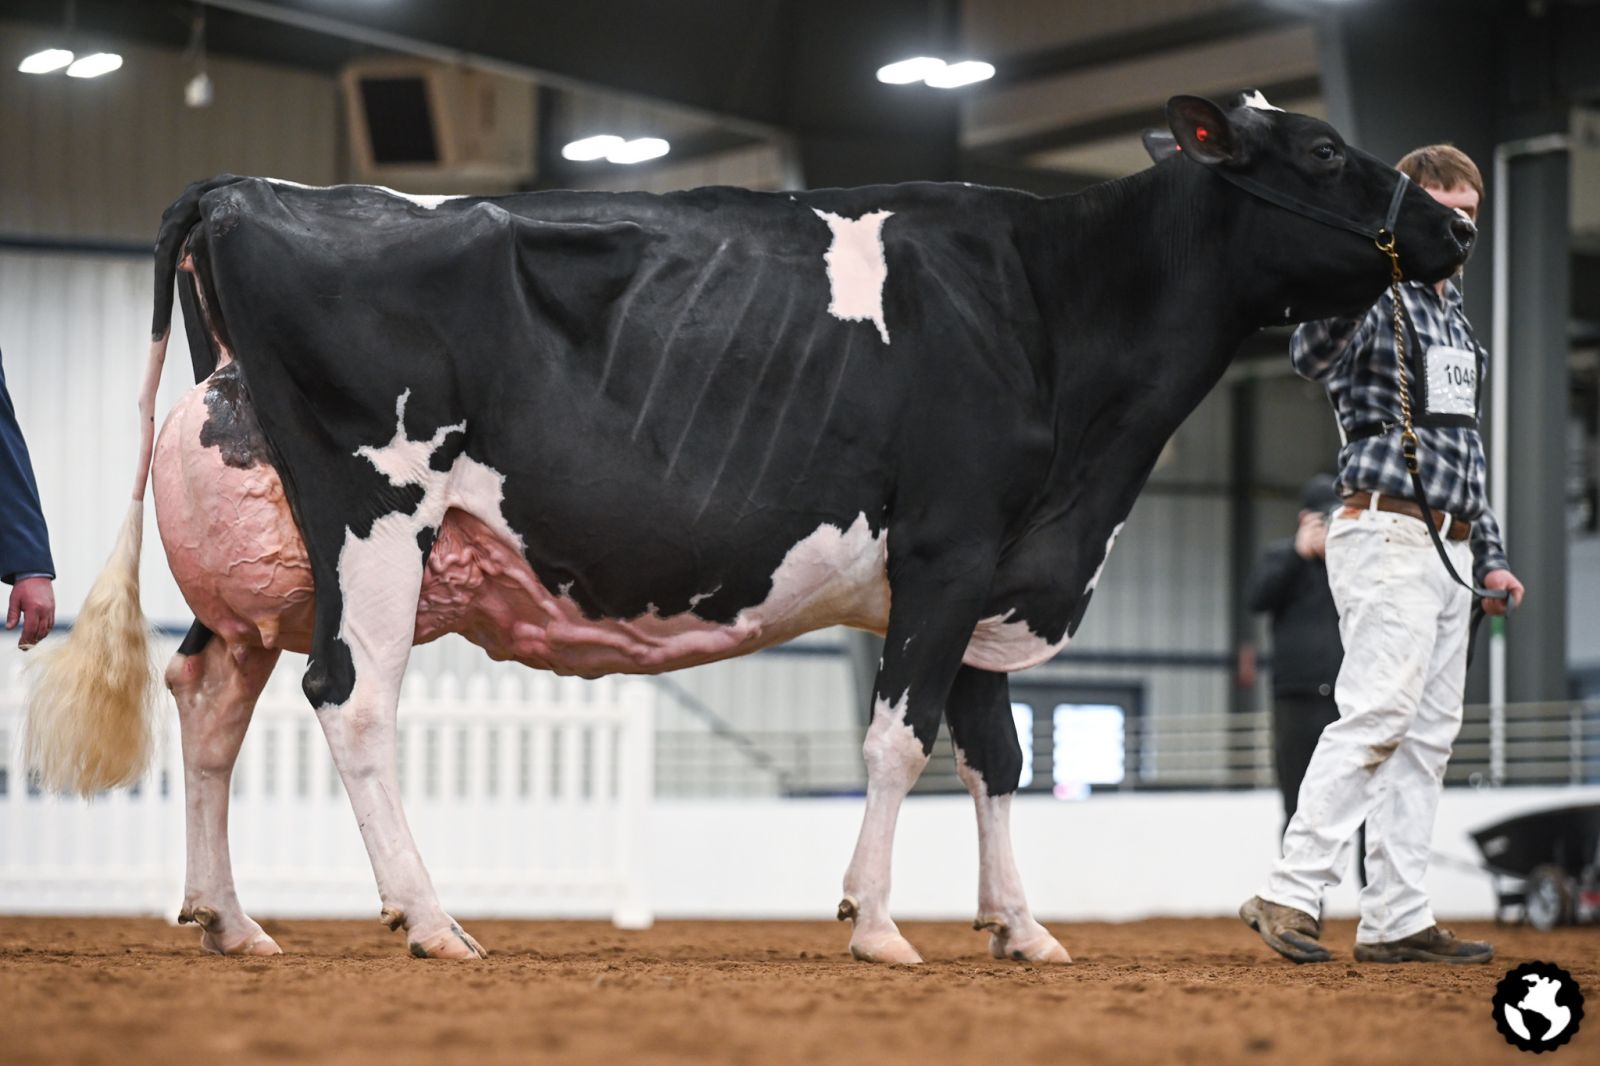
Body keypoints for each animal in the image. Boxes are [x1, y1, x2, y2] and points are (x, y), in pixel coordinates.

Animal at [23, 93, 1472, 963]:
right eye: (1327, 152)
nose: (1453, 230)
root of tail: (243, 187)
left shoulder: (994, 568)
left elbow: (998, 759)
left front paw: (1022, 931)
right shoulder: (949, 548)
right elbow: (901, 741)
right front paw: (877, 922)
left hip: (262, 558)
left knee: (209, 701)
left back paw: (232, 921)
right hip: (372, 514)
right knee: (353, 699)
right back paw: (429, 919)